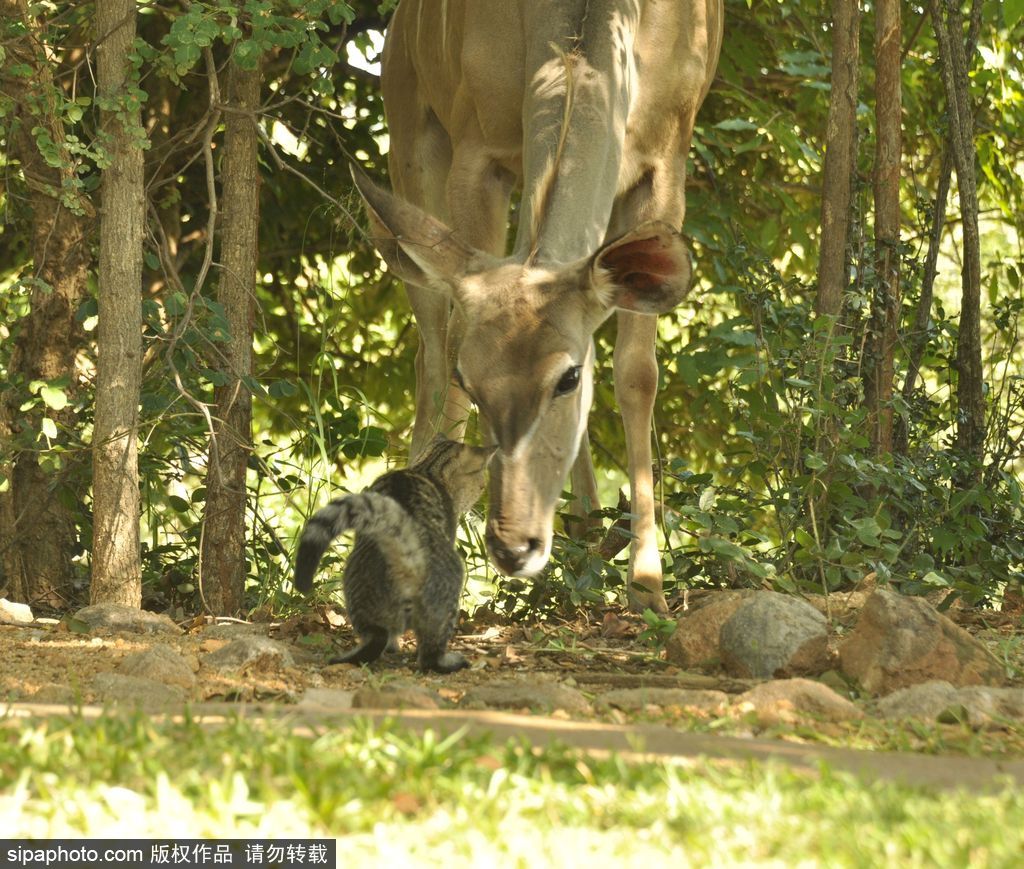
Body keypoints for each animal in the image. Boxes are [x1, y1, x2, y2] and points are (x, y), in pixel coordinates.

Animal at [292, 438, 491, 675]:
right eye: (481, 485)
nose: (480, 499)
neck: (427, 467)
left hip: (358, 589)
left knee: (378, 635)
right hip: (444, 600)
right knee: (429, 653)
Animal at [356, 0, 724, 610]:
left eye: (566, 379)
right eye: (472, 380)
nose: (512, 546)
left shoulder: (666, 160)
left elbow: (636, 373)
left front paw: (647, 587)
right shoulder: (476, 153)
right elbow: (451, 347)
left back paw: (587, 529)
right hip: (408, 153)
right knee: (427, 349)